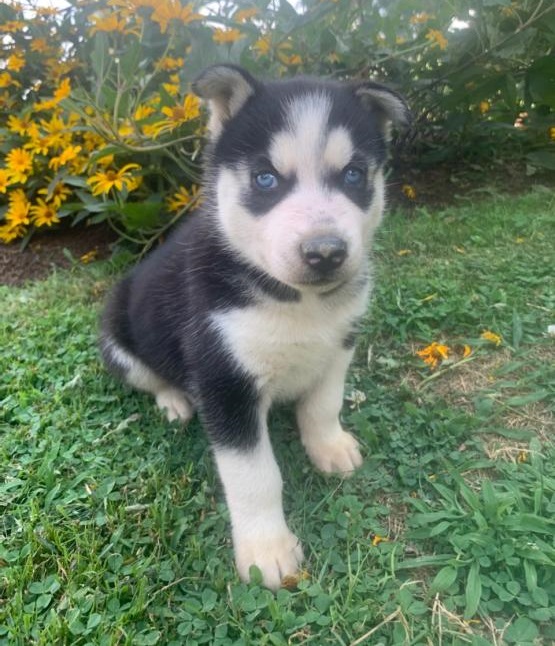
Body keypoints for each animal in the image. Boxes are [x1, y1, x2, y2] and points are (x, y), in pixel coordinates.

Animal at [102, 66, 410, 592]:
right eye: (267, 179)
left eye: (353, 175)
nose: (325, 253)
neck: (296, 301)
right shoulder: (225, 377)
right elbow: (255, 476)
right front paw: (267, 549)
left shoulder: (341, 341)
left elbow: (324, 404)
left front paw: (329, 446)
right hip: (116, 337)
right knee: (148, 375)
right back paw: (173, 400)